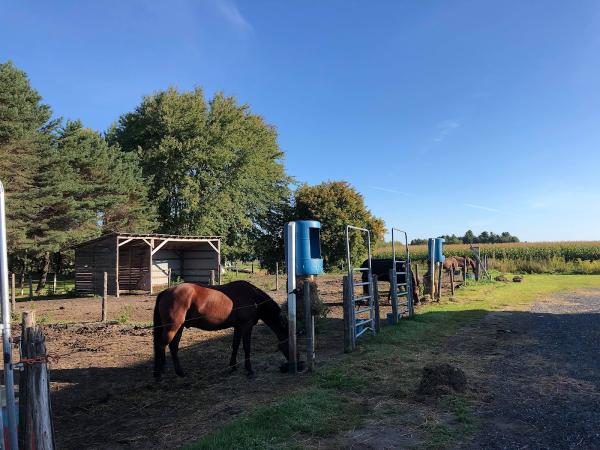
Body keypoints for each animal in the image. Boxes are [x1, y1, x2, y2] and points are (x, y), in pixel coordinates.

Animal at [154, 282, 292, 380]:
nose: (290, 365)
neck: (253, 298)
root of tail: (165, 291)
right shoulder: (246, 326)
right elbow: (246, 347)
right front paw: (249, 370)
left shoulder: (238, 327)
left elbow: (235, 345)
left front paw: (233, 366)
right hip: (173, 327)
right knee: (161, 346)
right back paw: (159, 374)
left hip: (179, 327)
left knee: (173, 347)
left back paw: (179, 372)